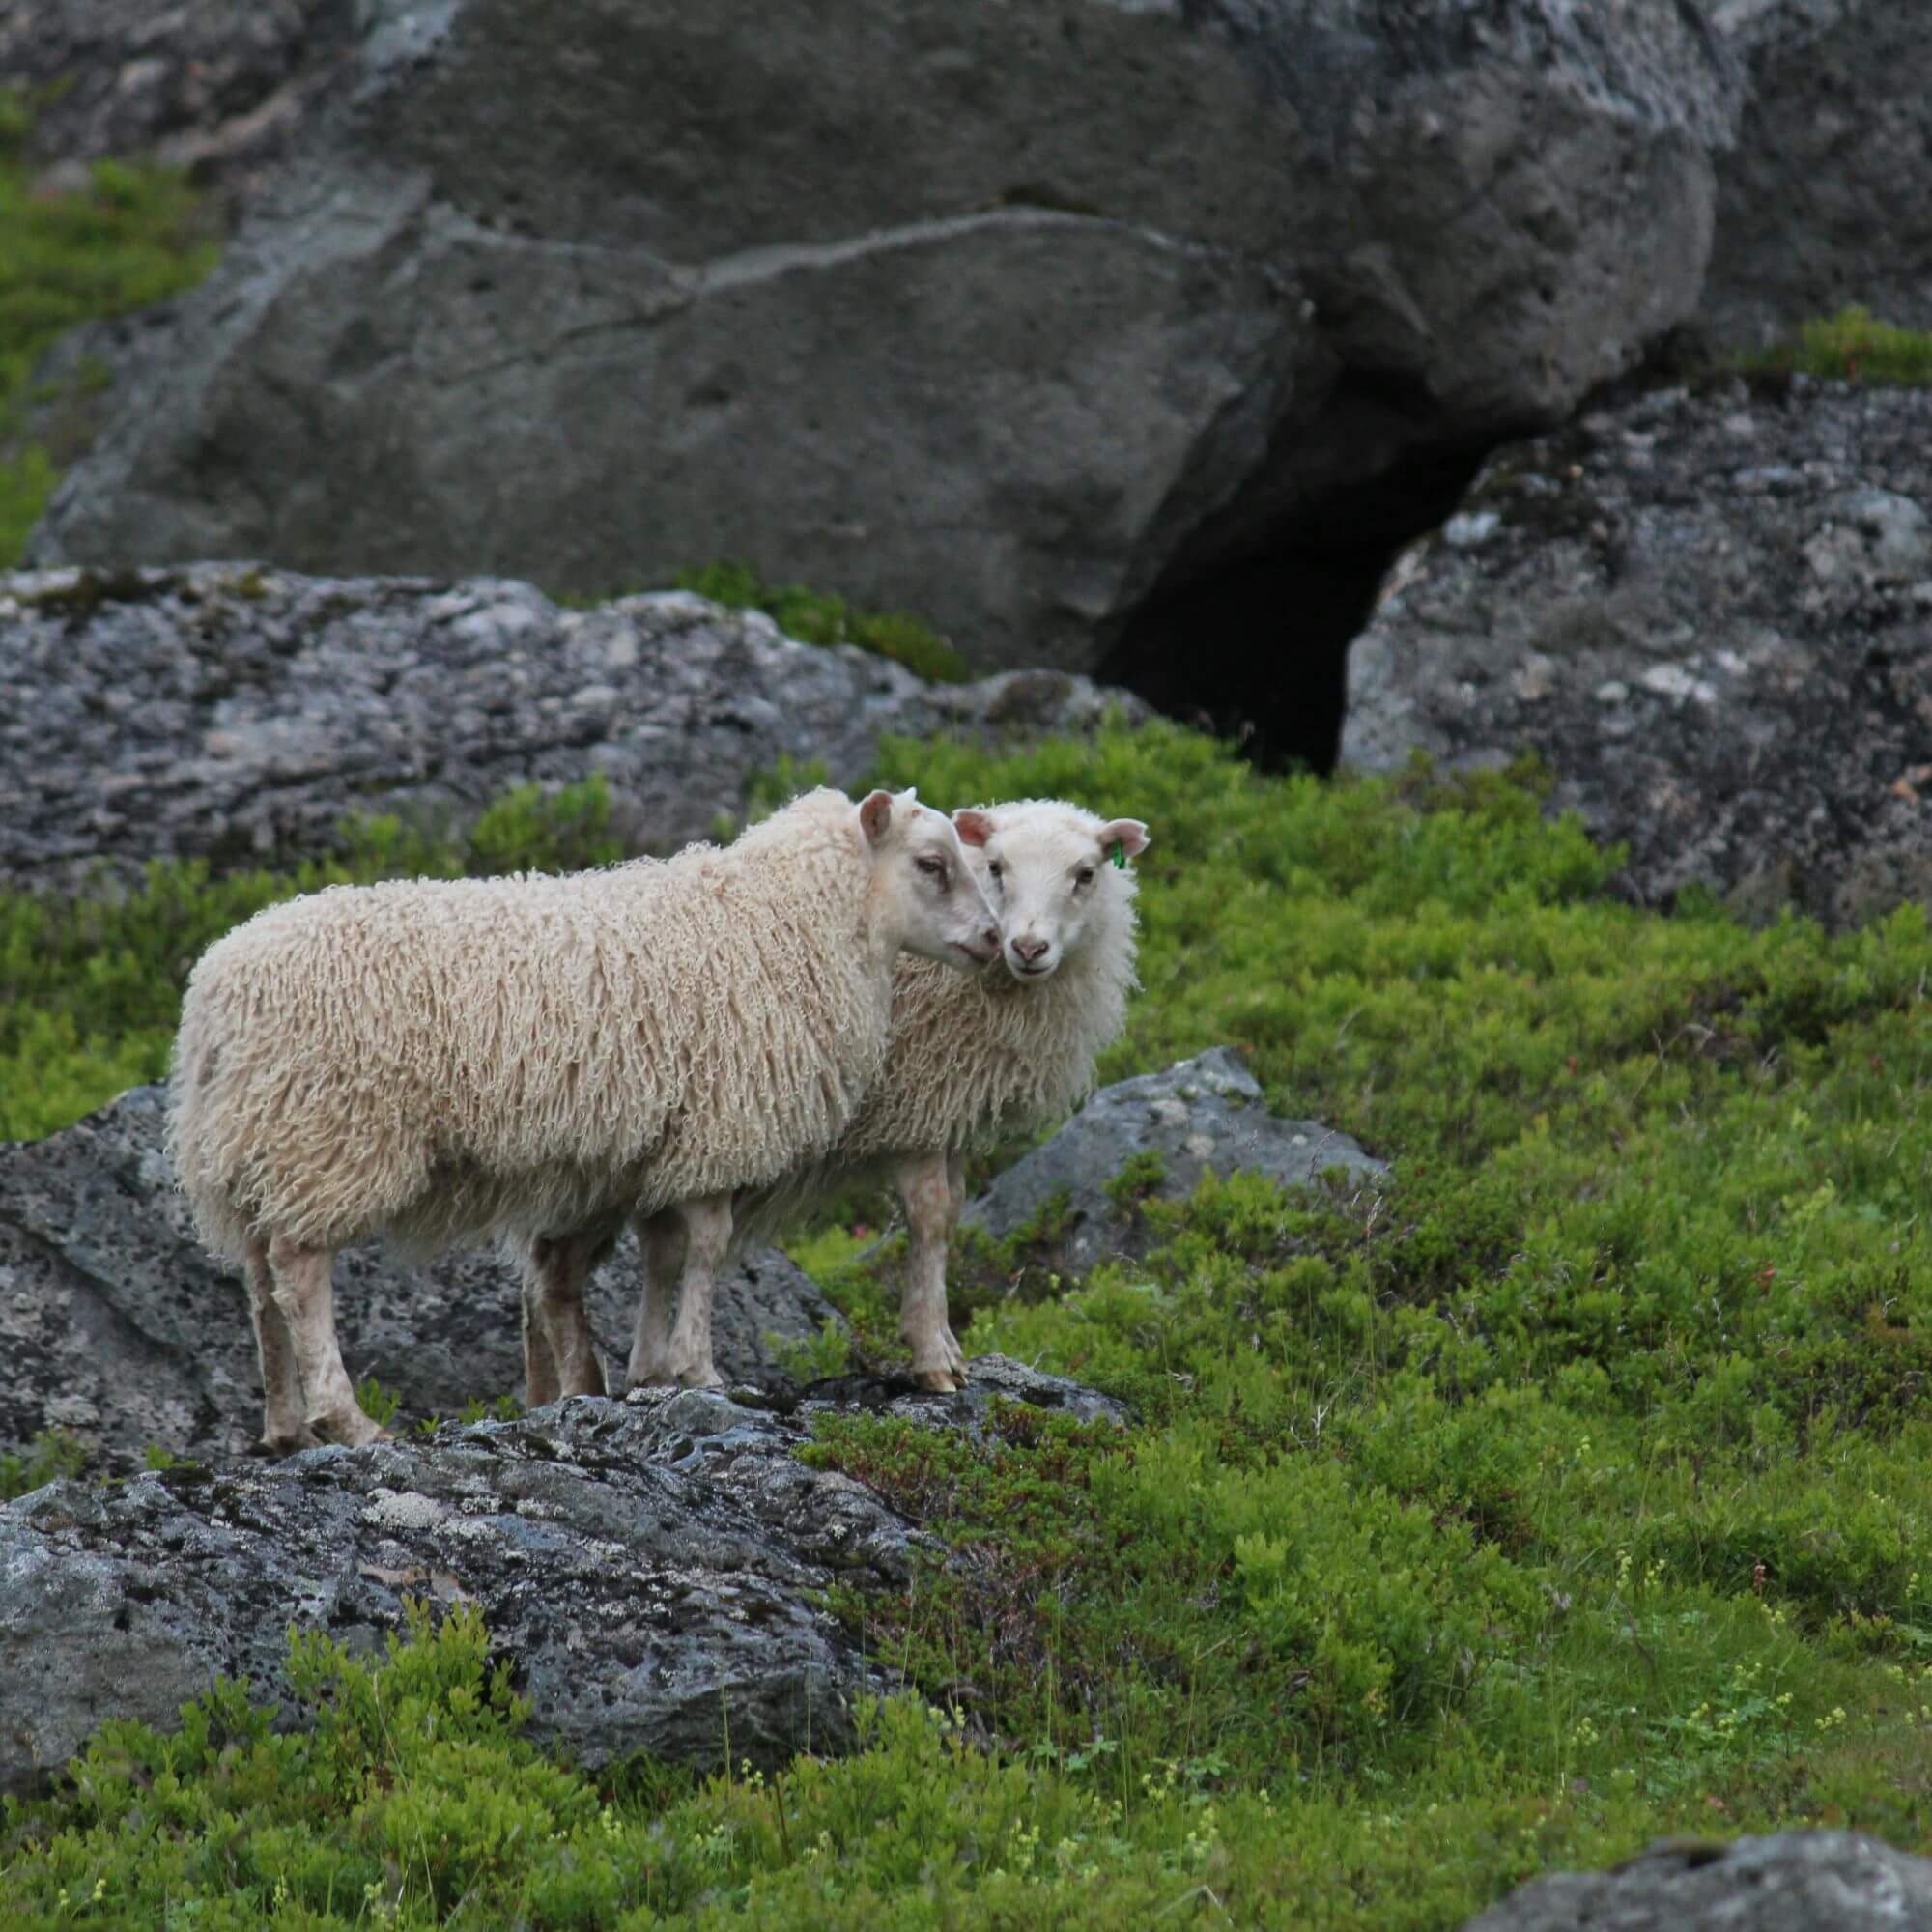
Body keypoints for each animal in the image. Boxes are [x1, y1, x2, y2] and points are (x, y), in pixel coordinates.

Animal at [170, 784, 997, 1453]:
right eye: (932, 863)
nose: (994, 940)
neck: (782, 922)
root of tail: (214, 989)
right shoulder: (719, 1129)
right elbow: (707, 1251)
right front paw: (701, 1369)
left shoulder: (664, 1146)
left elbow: (663, 1256)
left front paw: (650, 1372)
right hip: (330, 1135)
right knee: (301, 1274)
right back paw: (346, 1420)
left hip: (257, 1144)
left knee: (260, 1281)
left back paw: (283, 1426)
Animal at [603, 796, 1144, 1391]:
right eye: (998, 867)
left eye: (1085, 874)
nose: (1027, 947)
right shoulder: (917, 1111)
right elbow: (929, 1219)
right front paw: (932, 1355)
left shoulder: (948, 1112)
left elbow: (950, 1215)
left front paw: (948, 1345)